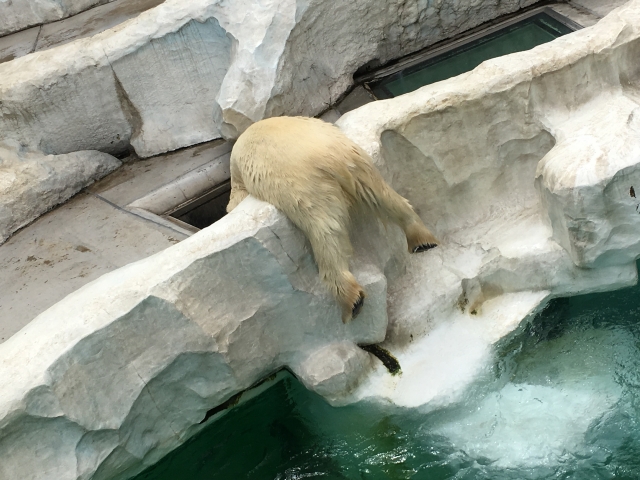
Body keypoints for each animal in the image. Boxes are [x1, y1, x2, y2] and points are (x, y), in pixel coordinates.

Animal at [228, 117, 438, 322]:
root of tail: (332, 157)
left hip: (301, 186)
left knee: (325, 231)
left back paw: (351, 300)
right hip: (359, 164)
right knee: (382, 197)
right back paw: (422, 240)